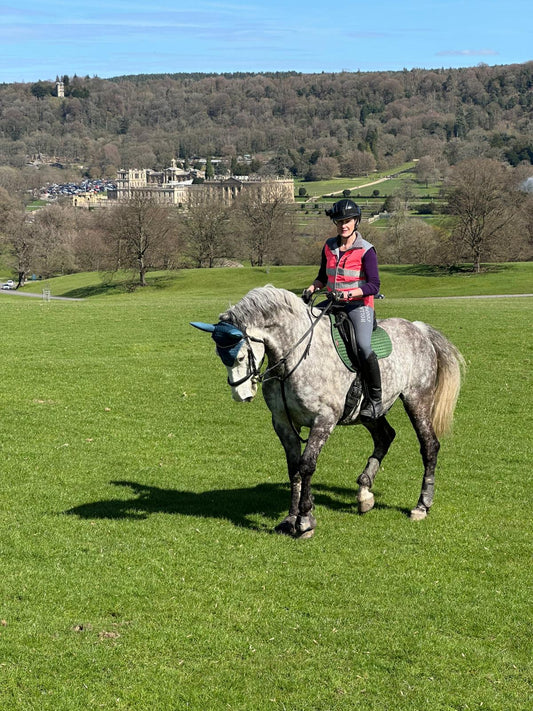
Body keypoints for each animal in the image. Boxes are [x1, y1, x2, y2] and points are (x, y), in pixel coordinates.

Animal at [191, 285, 465, 538]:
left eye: (239, 357)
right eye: (220, 356)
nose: (241, 395)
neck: (296, 358)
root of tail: (418, 329)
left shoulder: (323, 420)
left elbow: (307, 465)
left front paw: (305, 521)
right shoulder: (282, 422)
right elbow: (293, 468)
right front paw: (290, 519)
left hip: (417, 400)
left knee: (429, 446)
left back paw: (422, 505)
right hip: (367, 413)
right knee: (385, 436)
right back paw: (364, 493)